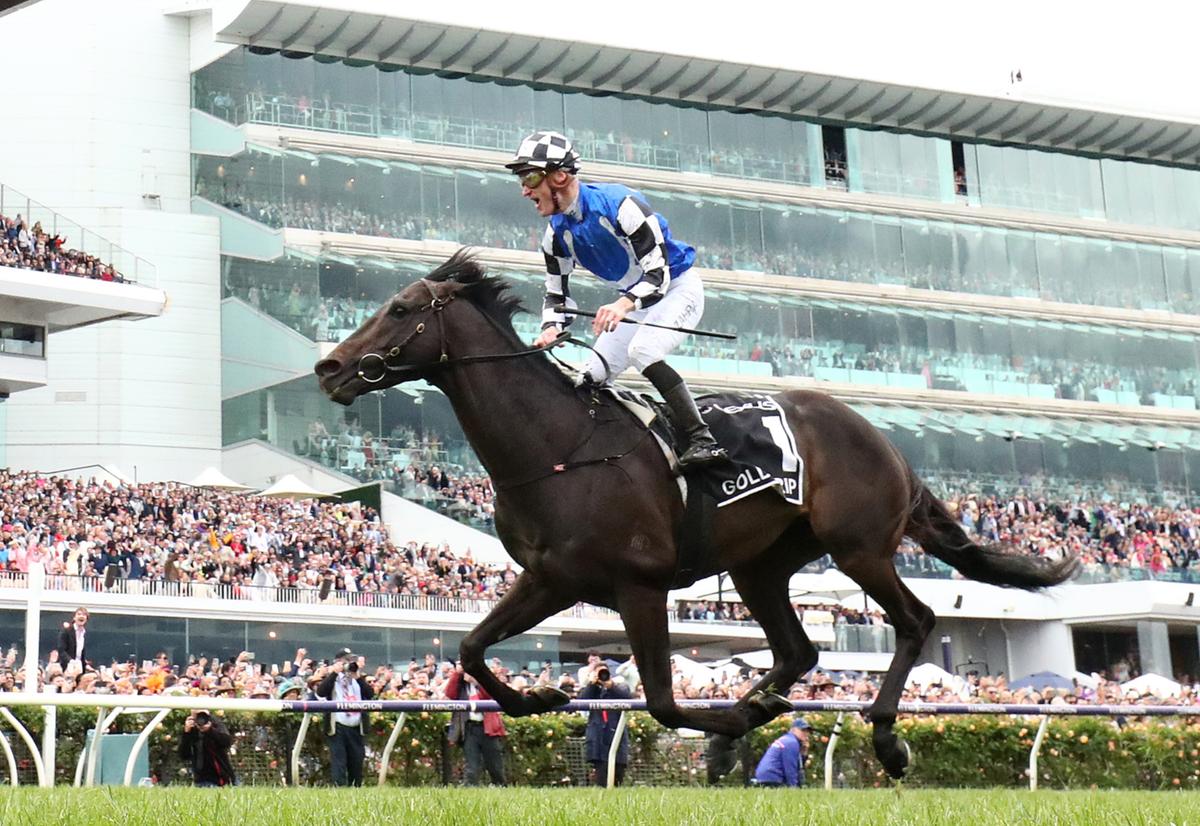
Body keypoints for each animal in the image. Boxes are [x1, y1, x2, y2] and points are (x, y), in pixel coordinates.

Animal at [312, 249, 1080, 773]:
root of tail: (882, 439)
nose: (330, 368)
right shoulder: (551, 579)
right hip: (760, 566)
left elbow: (661, 701)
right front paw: (540, 699)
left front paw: (731, 721)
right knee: (800, 649)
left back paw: (885, 737)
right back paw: (763, 702)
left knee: (914, 621)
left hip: (859, 547)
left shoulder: (639, 584)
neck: (559, 447)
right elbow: (472, 647)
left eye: (402, 309)